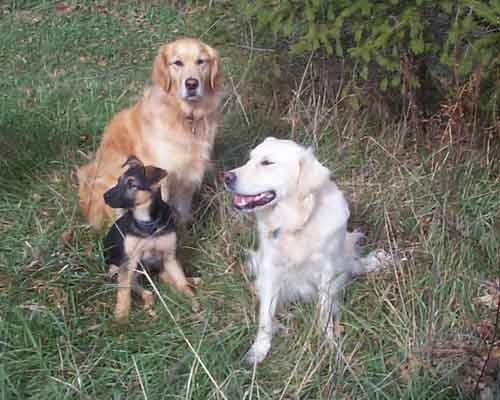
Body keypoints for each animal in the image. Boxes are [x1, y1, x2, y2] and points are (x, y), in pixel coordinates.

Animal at [103, 155, 197, 320]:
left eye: (132, 184)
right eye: (118, 180)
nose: (104, 197)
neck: (148, 223)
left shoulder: (169, 257)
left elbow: (182, 283)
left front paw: (192, 301)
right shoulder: (129, 262)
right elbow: (123, 292)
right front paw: (121, 316)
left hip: (163, 265)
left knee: (168, 277)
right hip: (121, 270)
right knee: (146, 291)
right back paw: (149, 305)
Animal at [225, 138, 388, 366]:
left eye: (267, 162)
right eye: (249, 159)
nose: (226, 177)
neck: (296, 223)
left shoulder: (327, 271)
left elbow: (325, 312)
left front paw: (328, 342)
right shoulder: (270, 269)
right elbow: (265, 316)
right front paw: (259, 349)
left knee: (354, 265)